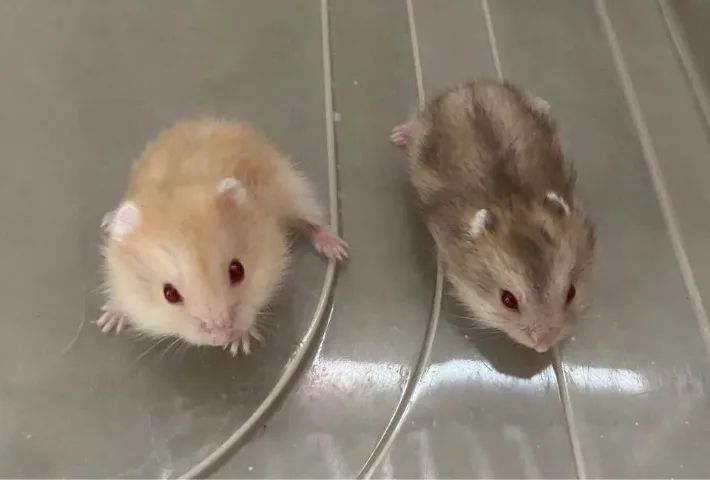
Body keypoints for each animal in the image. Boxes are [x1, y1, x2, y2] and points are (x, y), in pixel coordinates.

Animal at [96, 118, 348, 356]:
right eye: (169, 294)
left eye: (238, 270)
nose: (222, 338)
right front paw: (106, 322)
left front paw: (240, 346)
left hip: (294, 187)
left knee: (311, 219)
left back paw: (337, 250)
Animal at [390, 80, 595, 353]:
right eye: (507, 300)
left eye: (571, 292)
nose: (542, 345)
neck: (513, 202)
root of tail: (469, 87)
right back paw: (397, 135)